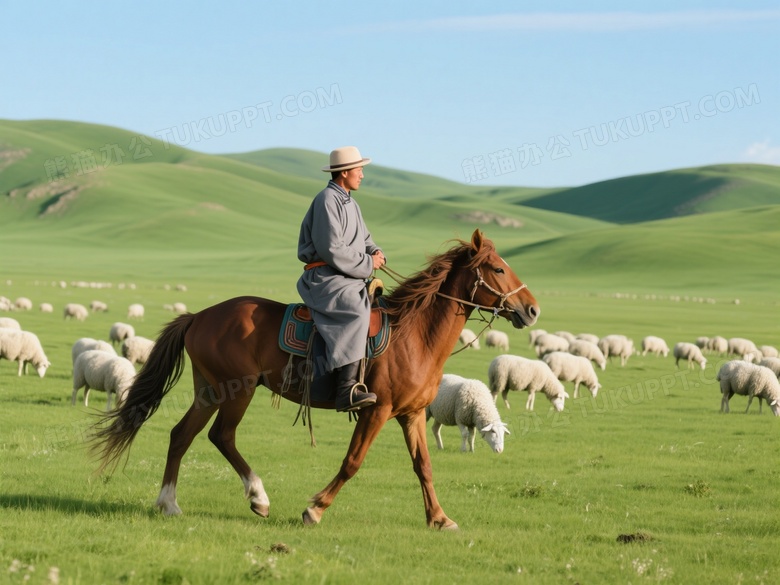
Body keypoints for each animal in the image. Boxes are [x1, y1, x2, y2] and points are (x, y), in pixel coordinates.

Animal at [90, 229, 540, 529]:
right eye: (497, 268)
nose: (532, 310)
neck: (415, 335)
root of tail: (199, 315)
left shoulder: (411, 415)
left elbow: (423, 466)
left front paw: (440, 518)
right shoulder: (376, 411)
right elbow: (352, 462)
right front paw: (315, 508)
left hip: (209, 390)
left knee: (182, 435)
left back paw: (169, 503)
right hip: (236, 390)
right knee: (221, 436)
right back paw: (258, 497)